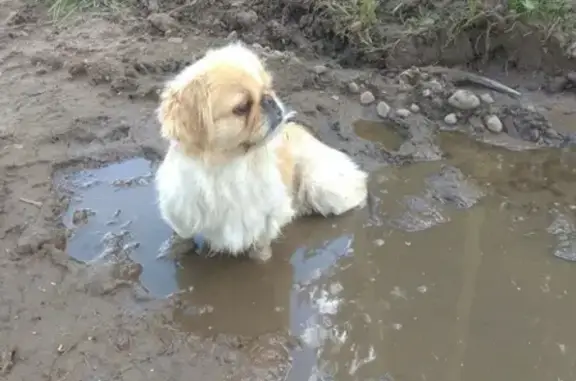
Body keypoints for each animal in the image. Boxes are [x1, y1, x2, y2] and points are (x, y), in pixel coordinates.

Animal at [154, 42, 368, 262]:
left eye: (269, 88)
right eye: (242, 107)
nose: (269, 100)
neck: (230, 166)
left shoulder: (266, 220)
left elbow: (261, 250)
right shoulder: (181, 213)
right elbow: (182, 238)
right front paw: (173, 252)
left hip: (322, 186)